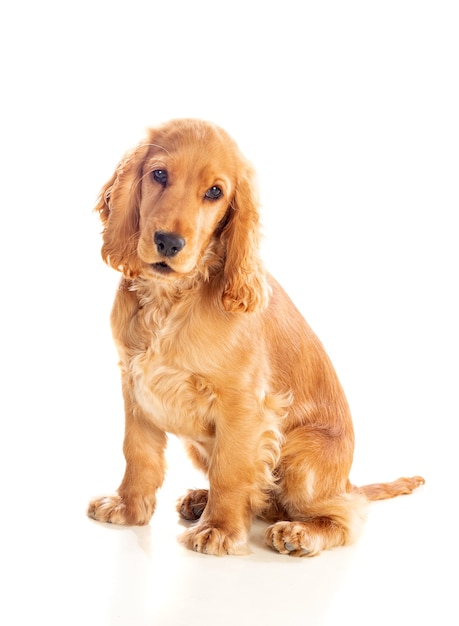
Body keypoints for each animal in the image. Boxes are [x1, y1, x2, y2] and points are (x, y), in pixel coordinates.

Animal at [88, 119, 426, 552]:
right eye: (159, 174)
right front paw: (129, 508)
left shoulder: (243, 404)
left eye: (215, 191)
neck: (170, 299)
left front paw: (220, 529)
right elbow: (138, 452)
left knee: (344, 513)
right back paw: (201, 499)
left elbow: (231, 470)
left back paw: (300, 532)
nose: (168, 242)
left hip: (302, 459)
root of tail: (347, 480)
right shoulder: (134, 381)